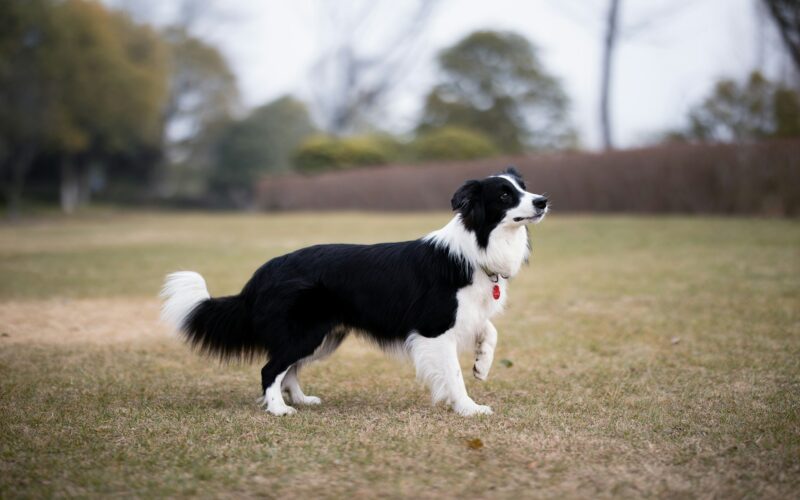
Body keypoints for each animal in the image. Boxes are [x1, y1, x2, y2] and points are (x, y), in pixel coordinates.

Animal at [162, 166, 552, 416]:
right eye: (505, 194)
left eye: (524, 187)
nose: (543, 200)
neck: (476, 245)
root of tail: (263, 272)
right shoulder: (434, 328)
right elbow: (453, 375)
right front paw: (469, 408)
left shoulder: (466, 312)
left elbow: (490, 328)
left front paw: (482, 364)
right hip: (306, 332)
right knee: (270, 369)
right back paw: (279, 410)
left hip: (323, 337)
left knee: (290, 368)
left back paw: (300, 400)